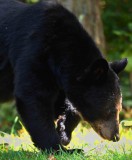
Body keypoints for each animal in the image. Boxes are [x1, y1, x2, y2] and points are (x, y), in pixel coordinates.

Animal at [0, 0, 128, 151]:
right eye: (111, 109)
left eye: (119, 108)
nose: (116, 136)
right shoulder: (34, 51)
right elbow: (32, 97)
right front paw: (59, 147)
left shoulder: (61, 81)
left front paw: (63, 133)